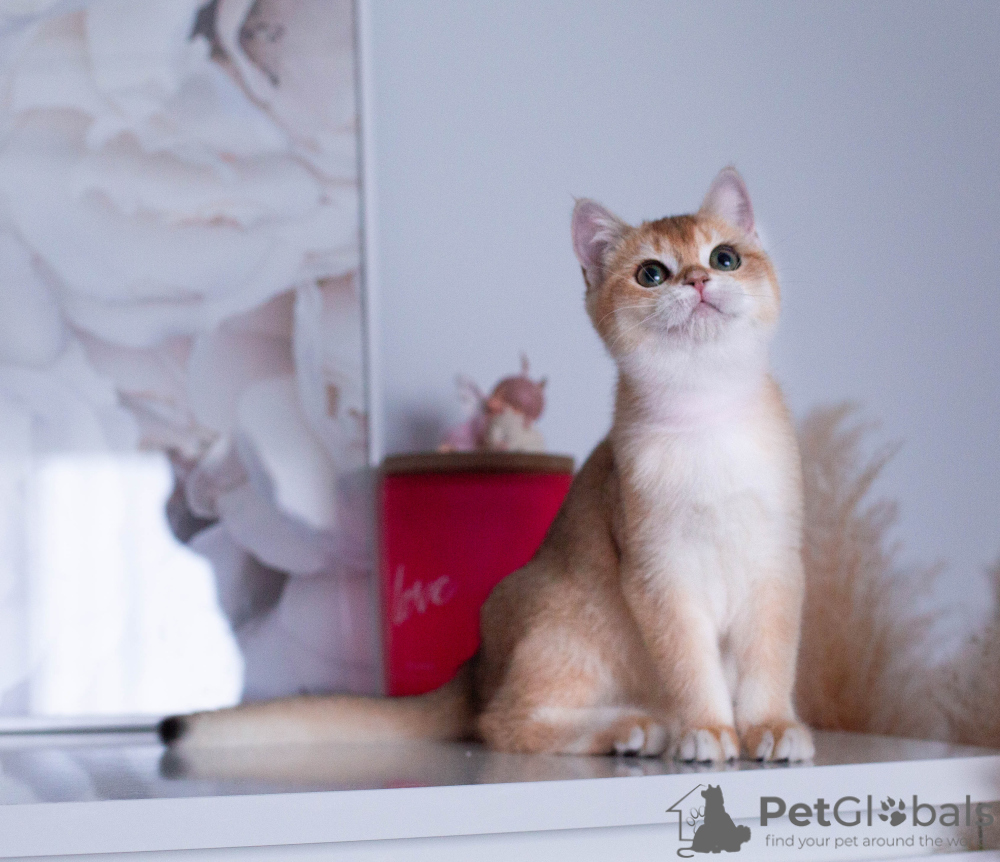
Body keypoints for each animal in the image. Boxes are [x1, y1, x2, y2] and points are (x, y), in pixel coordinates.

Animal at [161, 167, 814, 763]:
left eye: (725, 258)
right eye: (651, 274)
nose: (700, 279)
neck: (708, 418)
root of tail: (472, 667)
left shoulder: (776, 564)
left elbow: (770, 662)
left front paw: (770, 728)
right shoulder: (660, 574)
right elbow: (692, 666)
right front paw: (708, 729)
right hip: (567, 620)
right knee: (501, 721)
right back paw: (634, 728)